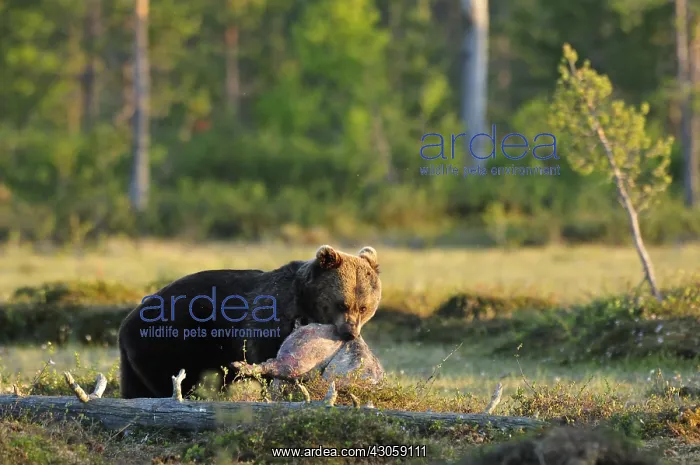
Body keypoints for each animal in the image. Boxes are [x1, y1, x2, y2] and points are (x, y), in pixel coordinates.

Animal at [117, 245, 382, 399]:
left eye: (364, 307)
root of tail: (124, 325)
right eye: (342, 304)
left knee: (135, 386)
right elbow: (267, 355)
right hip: (172, 337)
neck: (306, 304)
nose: (349, 332)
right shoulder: (270, 317)